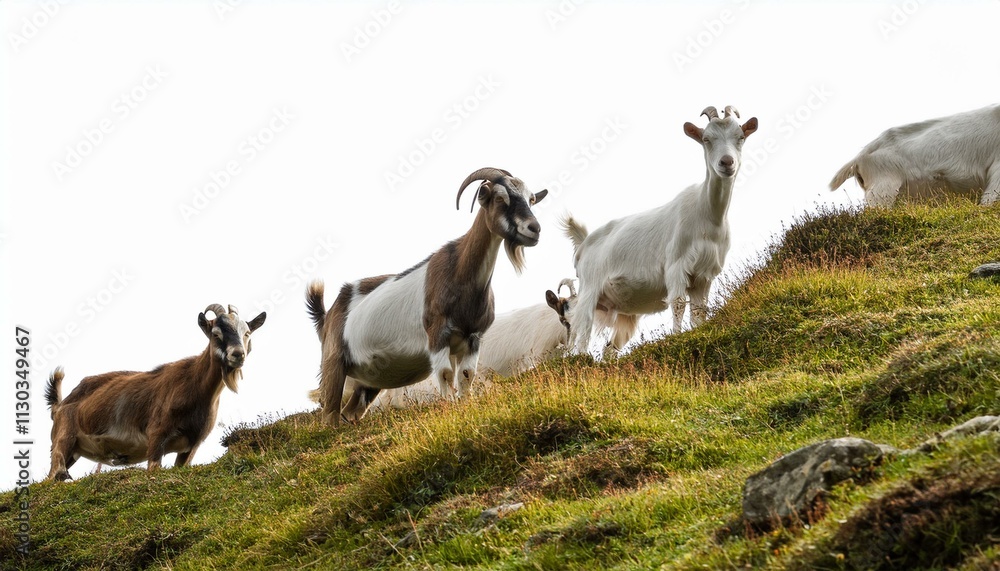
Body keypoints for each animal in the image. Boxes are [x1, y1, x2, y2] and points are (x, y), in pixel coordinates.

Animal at [45, 304, 266, 481]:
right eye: (216, 333)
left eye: (247, 333)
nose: (237, 354)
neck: (195, 386)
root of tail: (60, 406)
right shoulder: (156, 436)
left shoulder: (191, 446)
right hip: (63, 441)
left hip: (74, 451)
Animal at [307, 167, 547, 425]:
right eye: (500, 198)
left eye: (531, 199)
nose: (534, 229)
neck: (460, 271)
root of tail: (328, 315)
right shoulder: (437, 333)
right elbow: (445, 374)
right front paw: (449, 406)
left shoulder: (472, 338)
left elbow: (466, 374)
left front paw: (464, 404)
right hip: (333, 364)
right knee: (329, 412)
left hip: (367, 382)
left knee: (350, 412)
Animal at [563, 105, 757, 356]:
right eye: (706, 139)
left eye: (740, 137)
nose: (727, 162)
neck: (707, 215)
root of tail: (583, 244)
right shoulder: (676, 265)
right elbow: (678, 304)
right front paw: (677, 337)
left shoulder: (703, 275)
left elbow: (699, 311)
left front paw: (697, 332)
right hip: (589, 290)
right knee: (583, 333)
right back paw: (581, 359)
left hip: (624, 311)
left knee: (609, 347)